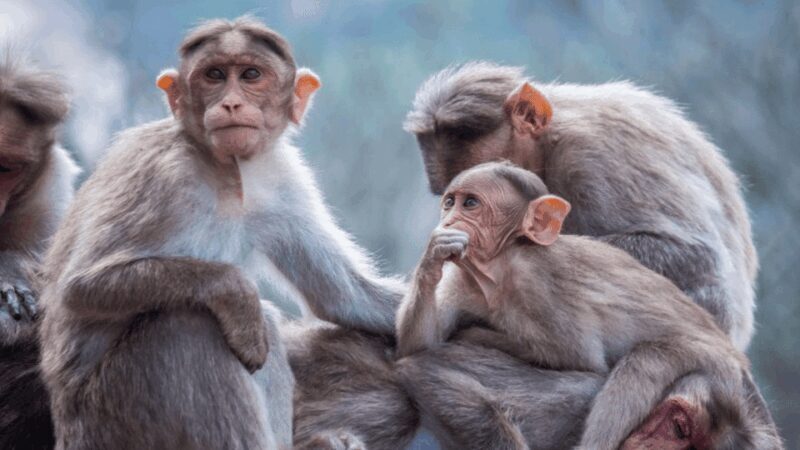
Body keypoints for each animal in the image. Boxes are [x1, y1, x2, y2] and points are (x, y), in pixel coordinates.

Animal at [37, 17, 403, 450]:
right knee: (189, 324)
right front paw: (235, 292)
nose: (230, 103)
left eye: (251, 75)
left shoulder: (281, 176)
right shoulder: (161, 174)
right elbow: (80, 287)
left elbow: (343, 295)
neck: (224, 169)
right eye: (214, 75)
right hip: (112, 418)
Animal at [395, 161, 782, 450]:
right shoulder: (463, 279)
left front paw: (477, 335)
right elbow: (421, 340)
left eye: (471, 204)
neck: (502, 265)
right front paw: (433, 256)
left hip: (716, 363)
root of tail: (737, 357)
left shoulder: (540, 285)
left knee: (647, 362)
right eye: (451, 202)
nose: (448, 219)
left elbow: (580, 360)